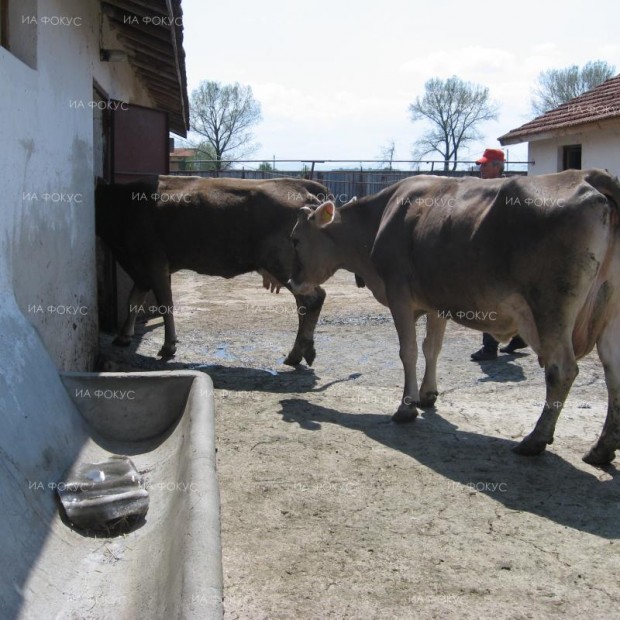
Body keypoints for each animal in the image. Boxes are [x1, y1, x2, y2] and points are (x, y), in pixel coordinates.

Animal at [95, 174, 330, 366]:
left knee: (312, 299)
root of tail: (301, 185)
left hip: (284, 265)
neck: (123, 205)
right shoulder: (140, 269)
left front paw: (168, 345)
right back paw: (302, 352)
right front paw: (124, 336)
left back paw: (299, 352)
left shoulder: (154, 262)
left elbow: (165, 304)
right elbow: (134, 300)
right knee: (304, 304)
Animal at [290, 170, 620, 464]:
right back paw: (601, 449)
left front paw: (407, 407)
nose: (293, 282)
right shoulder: (437, 303)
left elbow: (409, 351)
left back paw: (535, 439)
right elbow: (431, 348)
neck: (379, 219)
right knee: (613, 370)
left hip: (550, 308)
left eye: (295, 239)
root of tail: (587, 176)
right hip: (609, 311)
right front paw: (427, 395)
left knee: (561, 370)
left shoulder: (399, 296)